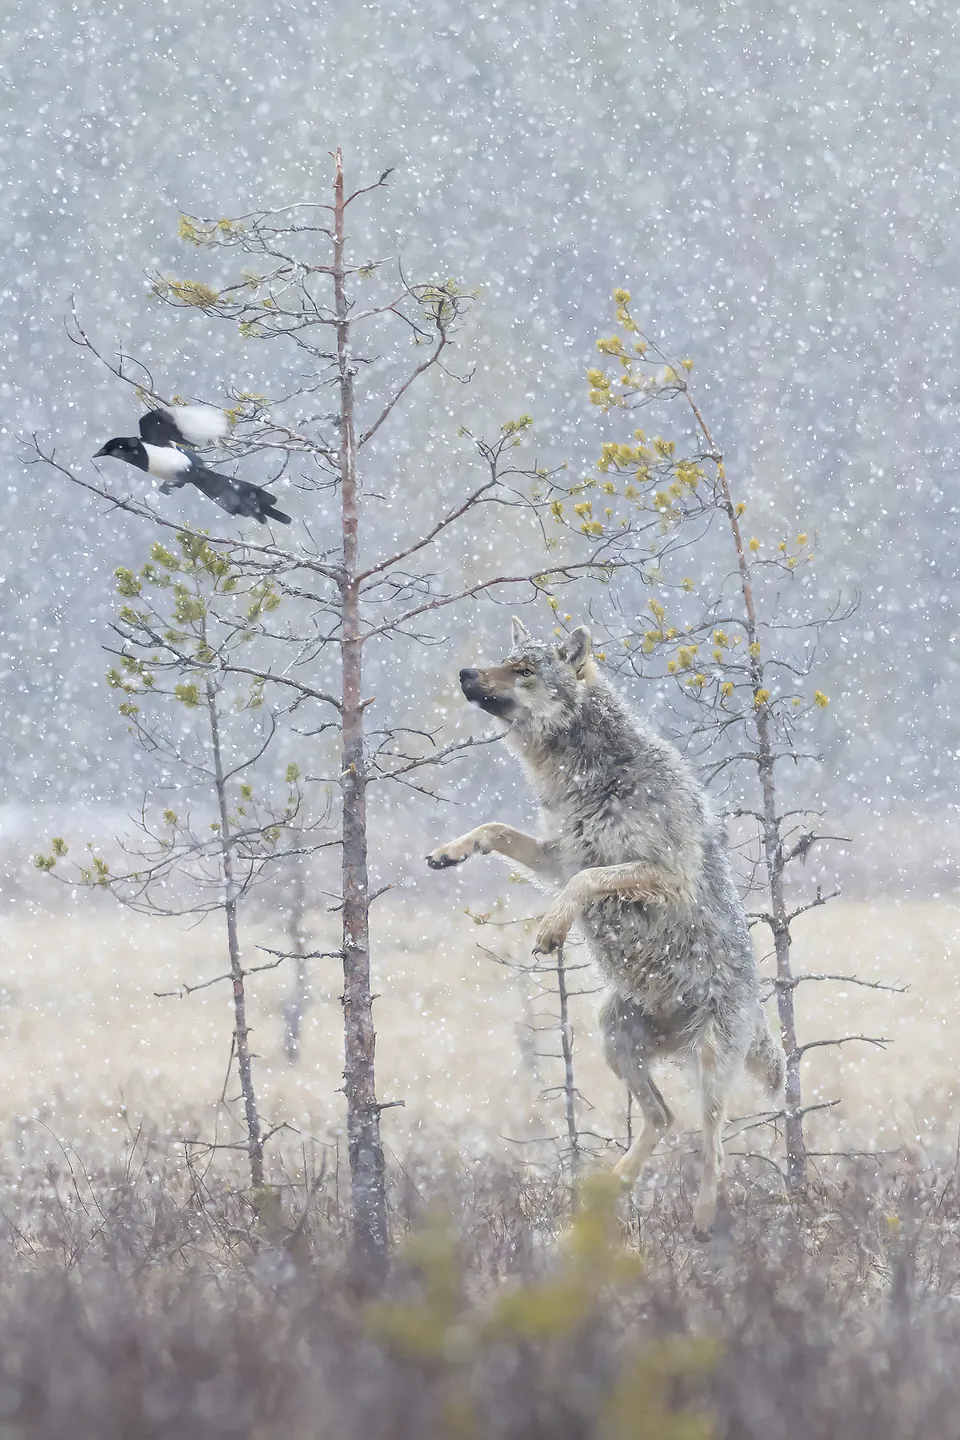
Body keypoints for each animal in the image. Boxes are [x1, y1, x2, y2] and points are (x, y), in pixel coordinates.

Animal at [426, 618, 785, 1234]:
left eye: (524, 669)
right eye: (503, 658)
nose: (467, 672)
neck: (580, 776)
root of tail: (758, 1008)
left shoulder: (658, 873)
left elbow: (588, 880)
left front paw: (552, 928)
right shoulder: (557, 853)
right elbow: (496, 829)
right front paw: (451, 852)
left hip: (709, 1064)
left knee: (713, 1145)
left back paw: (703, 1218)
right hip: (613, 1035)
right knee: (663, 1118)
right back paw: (615, 1183)